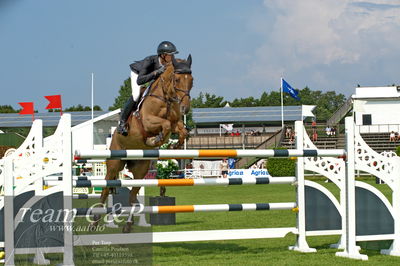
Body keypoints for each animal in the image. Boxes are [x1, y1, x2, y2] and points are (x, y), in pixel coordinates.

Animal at [92, 55, 195, 232]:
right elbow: (165, 125)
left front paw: (173, 146)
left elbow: (181, 131)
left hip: (140, 169)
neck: (165, 98)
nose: (185, 108)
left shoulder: (175, 122)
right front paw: (154, 140)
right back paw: (95, 221)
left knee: (133, 196)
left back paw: (128, 225)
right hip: (114, 164)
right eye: (177, 79)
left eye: (192, 80)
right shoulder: (148, 121)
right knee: (105, 189)